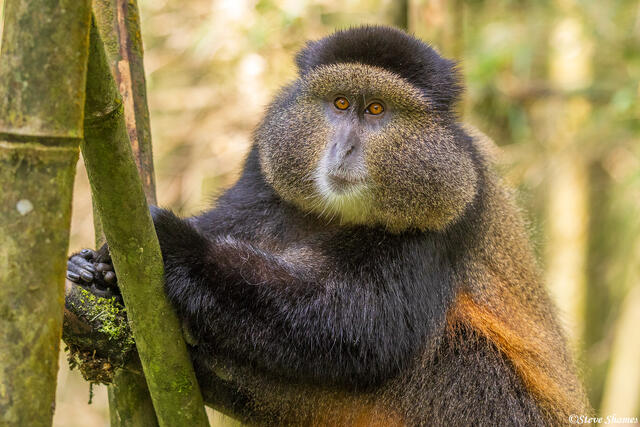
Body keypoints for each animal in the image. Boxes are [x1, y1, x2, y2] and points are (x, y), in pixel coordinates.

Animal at [68, 25, 590, 425]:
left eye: (376, 110)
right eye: (339, 104)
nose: (344, 148)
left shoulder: (448, 214)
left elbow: (362, 327)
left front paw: (175, 246)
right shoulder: (263, 174)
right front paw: (95, 268)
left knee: (460, 355)